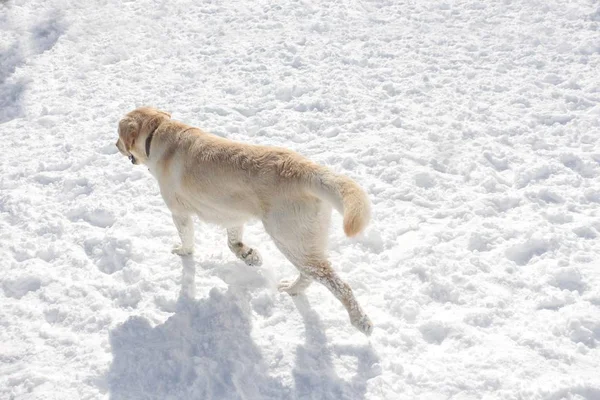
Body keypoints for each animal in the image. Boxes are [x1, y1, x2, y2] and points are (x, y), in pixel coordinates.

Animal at [115, 106, 372, 334]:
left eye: (118, 135)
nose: (114, 145)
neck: (157, 131)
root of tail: (310, 171)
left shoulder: (179, 212)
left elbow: (187, 239)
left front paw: (183, 252)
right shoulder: (231, 213)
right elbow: (233, 242)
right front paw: (249, 256)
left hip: (289, 240)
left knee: (337, 283)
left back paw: (361, 321)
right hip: (303, 242)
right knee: (310, 275)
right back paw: (291, 289)